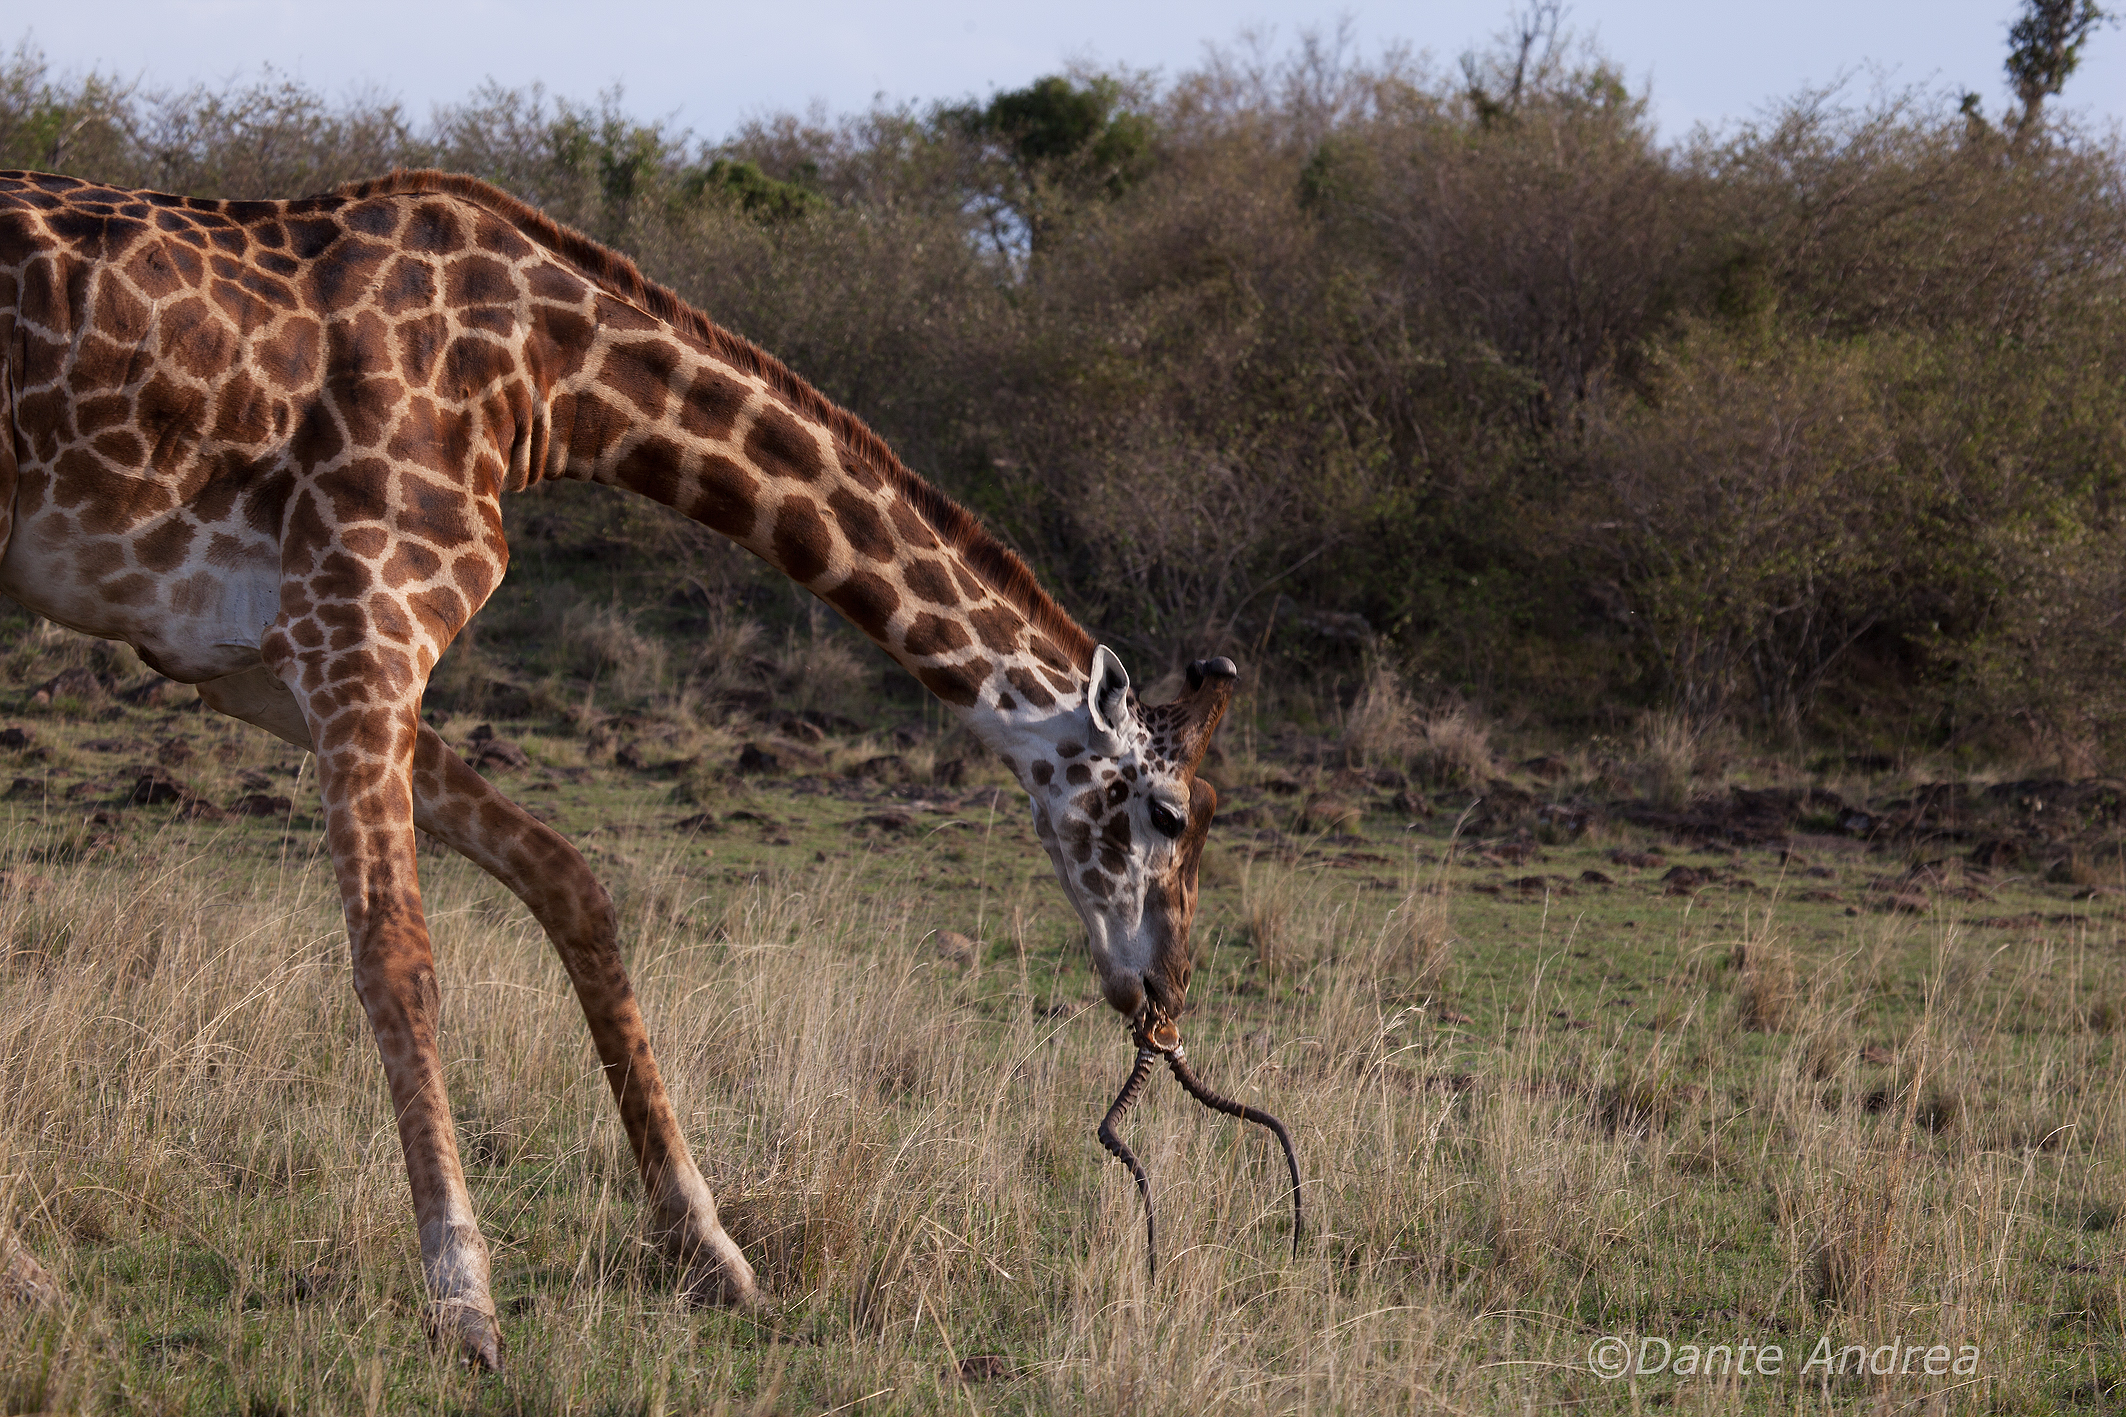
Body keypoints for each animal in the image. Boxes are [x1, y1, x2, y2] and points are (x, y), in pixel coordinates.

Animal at [0, 167, 1285, 1365]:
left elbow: (571, 882)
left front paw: (710, 1250)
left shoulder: (252, 664)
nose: (1163, 999)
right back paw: (34, 1279)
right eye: (1171, 814)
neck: (549, 382)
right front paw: (464, 1303)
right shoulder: (361, 627)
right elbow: (398, 963)